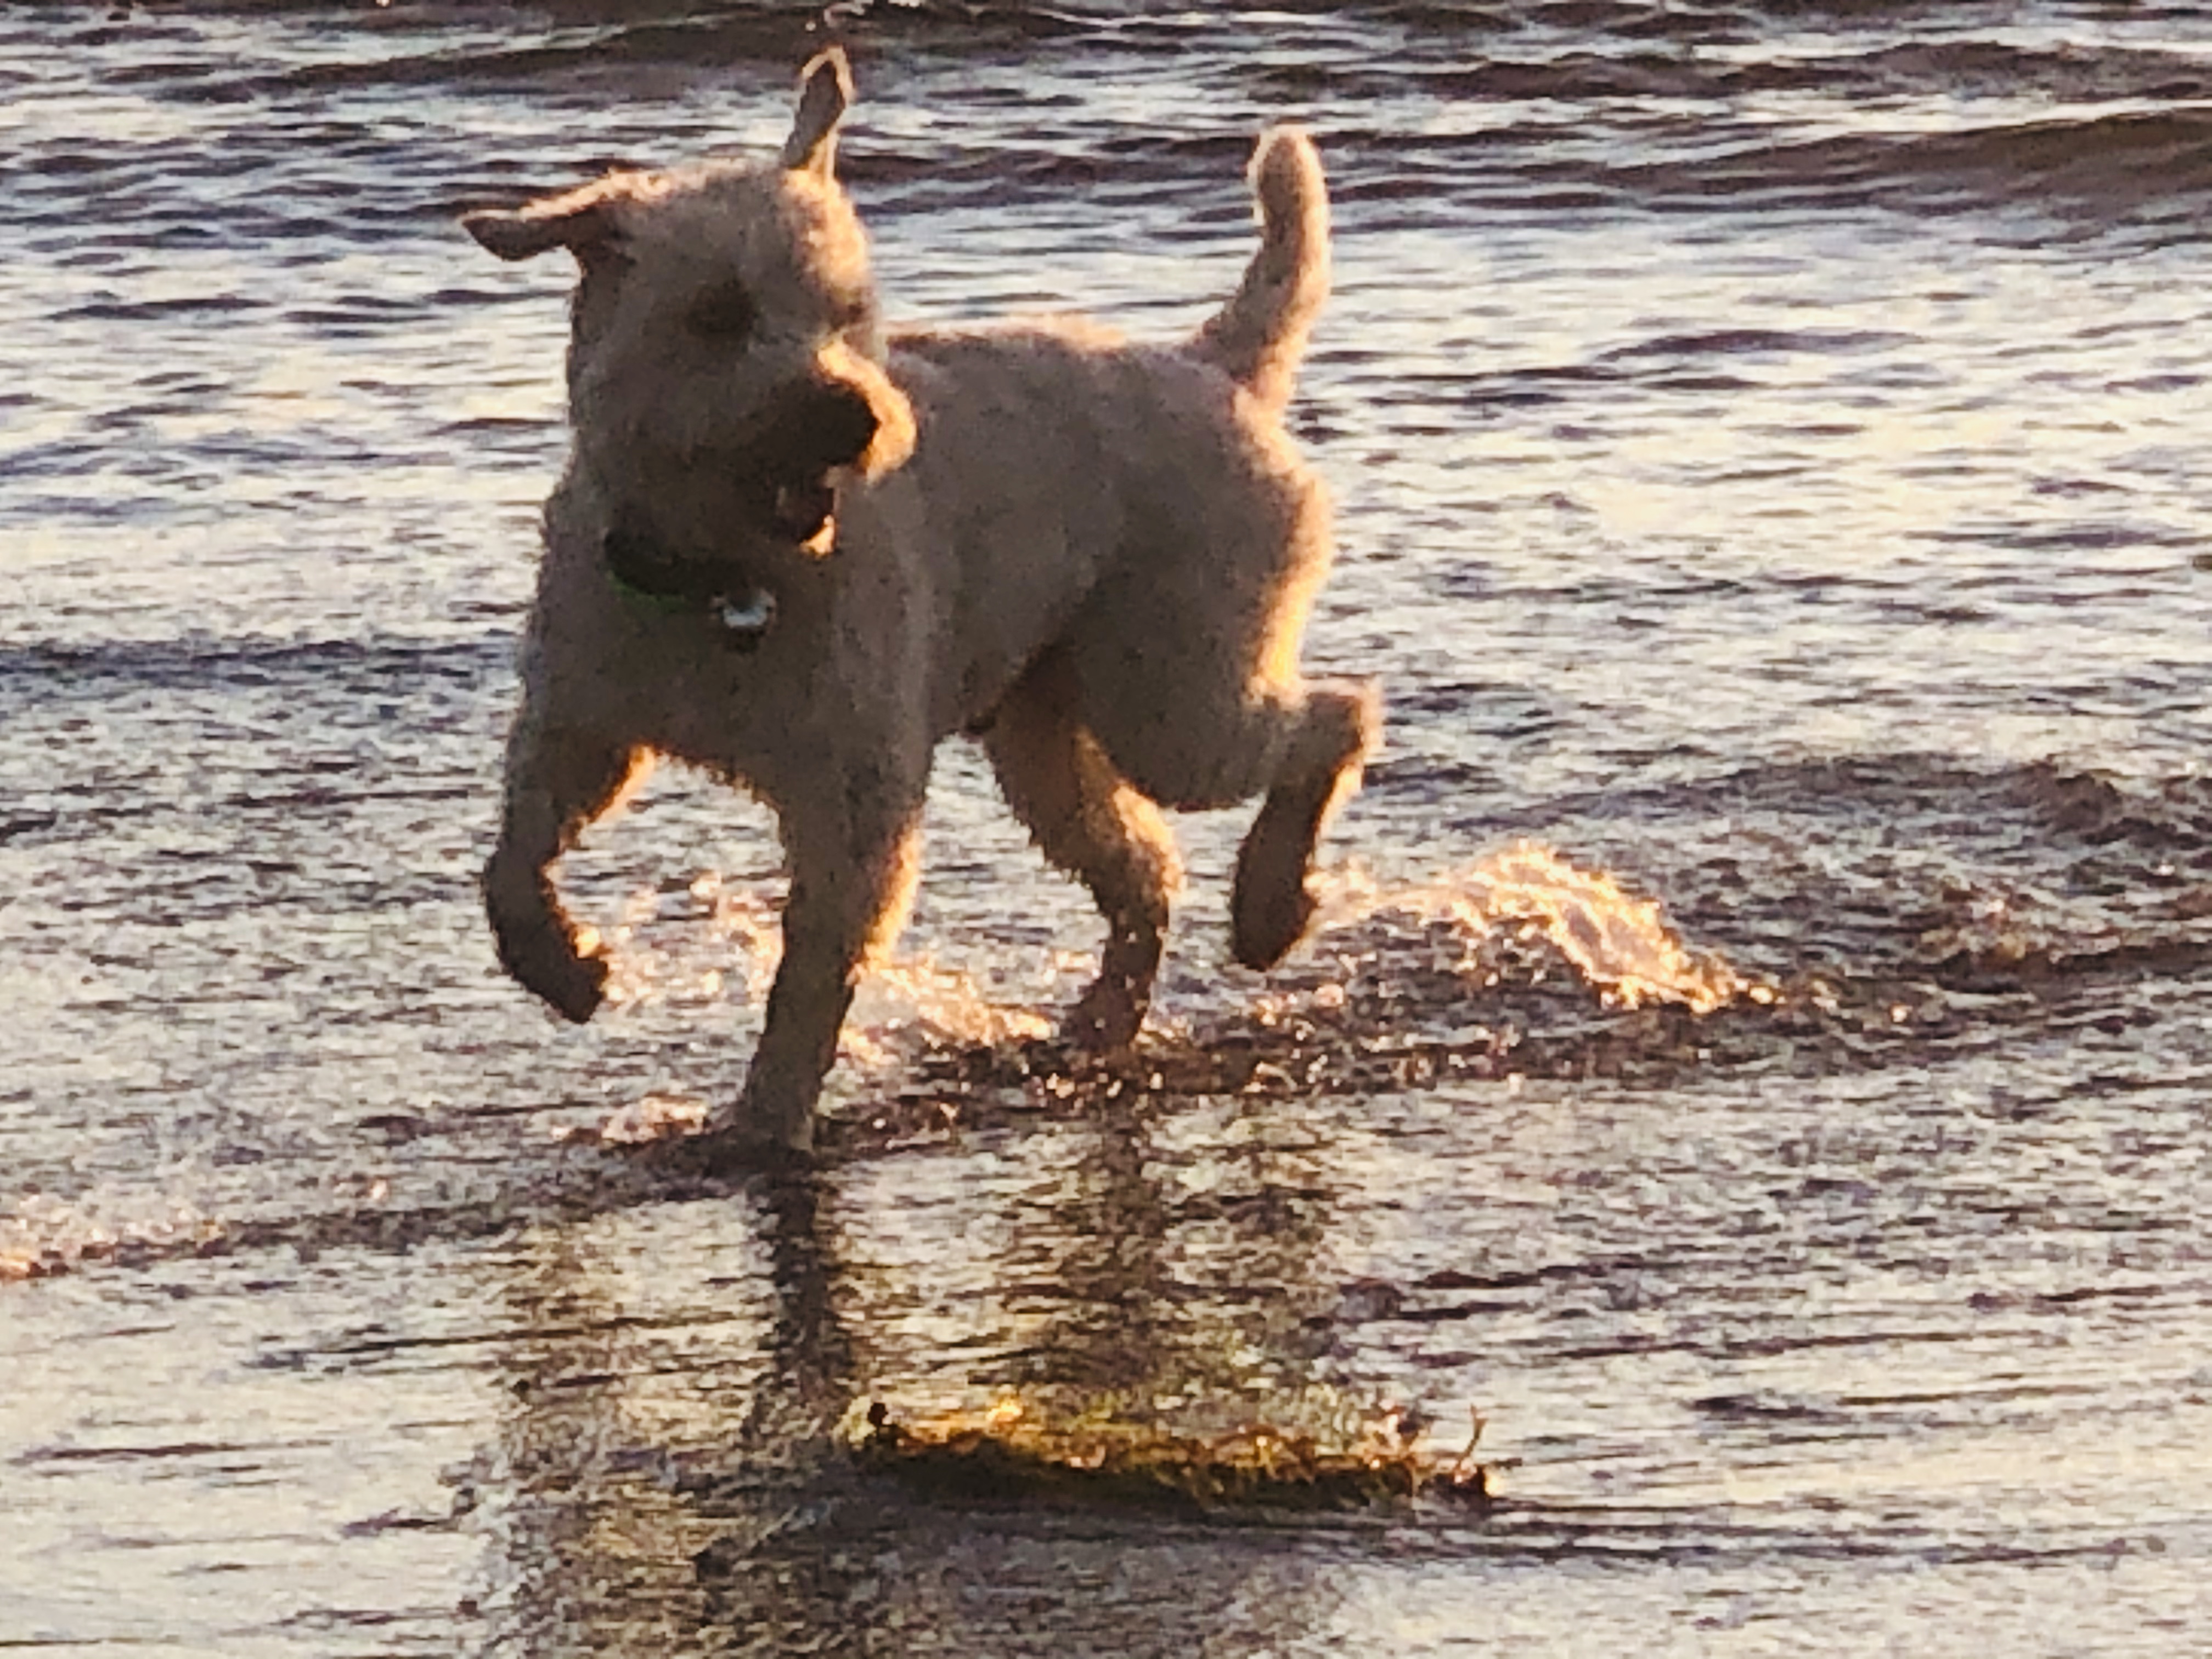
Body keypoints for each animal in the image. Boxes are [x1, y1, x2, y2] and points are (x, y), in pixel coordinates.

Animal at [464, 50, 1379, 1160]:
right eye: (717, 313)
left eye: (846, 311)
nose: (849, 417)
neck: (725, 576)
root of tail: (1218, 368)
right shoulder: (582, 728)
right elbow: (513, 867)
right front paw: (569, 972)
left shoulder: (853, 799)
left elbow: (811, 978)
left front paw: (765, 1122)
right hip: (1046, 732)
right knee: (1144, 869)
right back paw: (1102, 1019)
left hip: (1173, 694)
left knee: (1333, 719)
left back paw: (1270, 905)